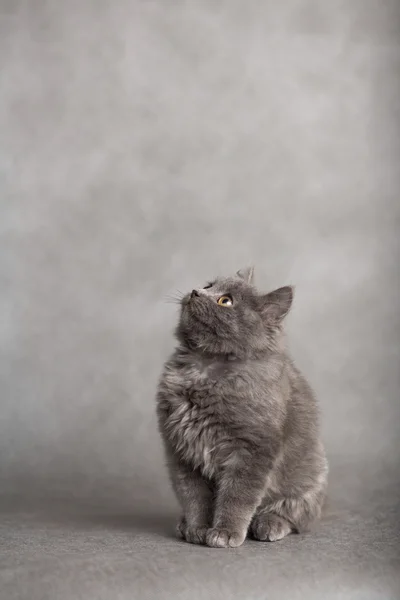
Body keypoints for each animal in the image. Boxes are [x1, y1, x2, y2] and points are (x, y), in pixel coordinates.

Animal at [156, 268, 328, 548]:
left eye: (225, 301)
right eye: (208, 286)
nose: (195, 291)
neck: (205, 367)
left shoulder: (252, 449)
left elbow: (237, 496)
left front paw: (225, 532)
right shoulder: (181, 450)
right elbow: (194, 496)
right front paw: (197, 528)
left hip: (309, 479)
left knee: (294, 514)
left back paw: (269, 524)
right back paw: (183, 524)